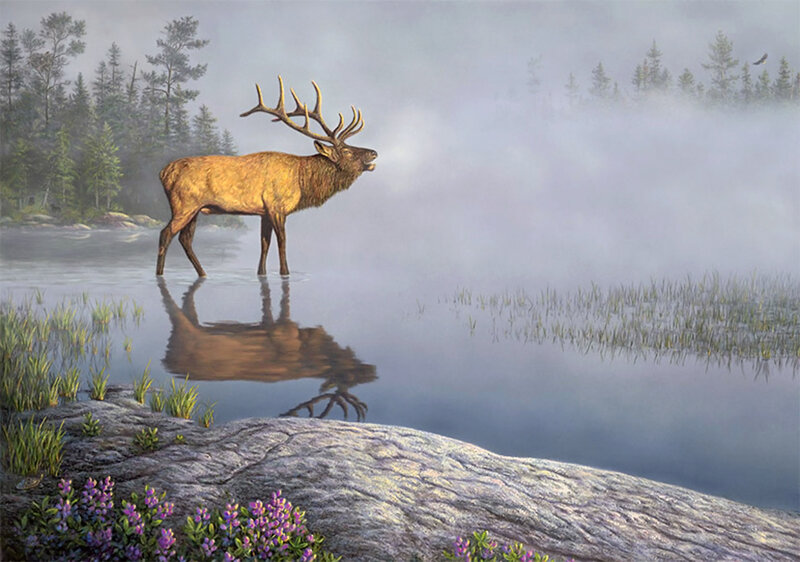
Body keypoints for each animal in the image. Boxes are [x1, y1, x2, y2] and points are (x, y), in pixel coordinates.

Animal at [156, 76, 378, 277]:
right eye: (347, 151)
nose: (374, 152)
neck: (302, 181)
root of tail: (164, 172)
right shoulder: (277, 206)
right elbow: (282, 242)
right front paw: (285, 273)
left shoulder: (264, 212)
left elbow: (264, 243)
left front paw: (261, 273)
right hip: (184, 204)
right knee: (166, 234)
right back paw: (160, 274)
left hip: (195, 209)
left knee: (185, 239)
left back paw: (202, 274)